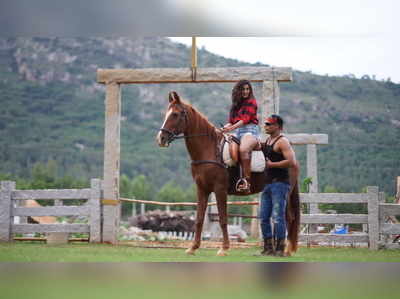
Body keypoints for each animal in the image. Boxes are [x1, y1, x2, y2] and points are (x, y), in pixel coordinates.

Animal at [156, 92, 300, 258]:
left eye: (175, 114)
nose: (160, 138)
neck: (210, 150)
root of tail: (292, 156)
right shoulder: (202, 189)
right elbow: (199, 219)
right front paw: (193, 247)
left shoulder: (220, 190)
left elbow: (223, 219)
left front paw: (224, 248)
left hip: (285, 193)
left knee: (288, 218)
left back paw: (286, 250)